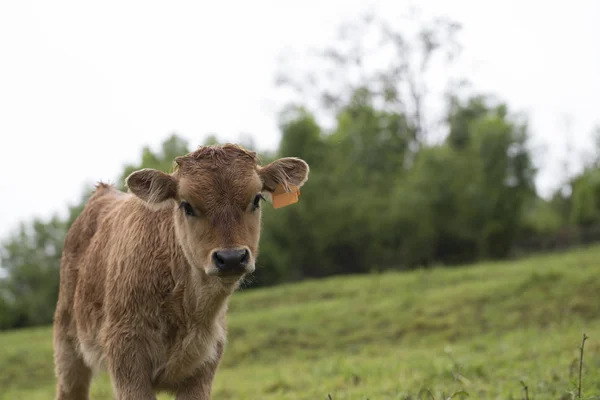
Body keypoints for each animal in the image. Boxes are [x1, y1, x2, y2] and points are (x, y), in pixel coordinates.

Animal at [51, 145, 310, 400]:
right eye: (187, 205)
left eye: (256, 199)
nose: (231, 258)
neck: (186, 308)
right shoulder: (126, 357)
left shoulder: (204, 365)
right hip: (68, 349)